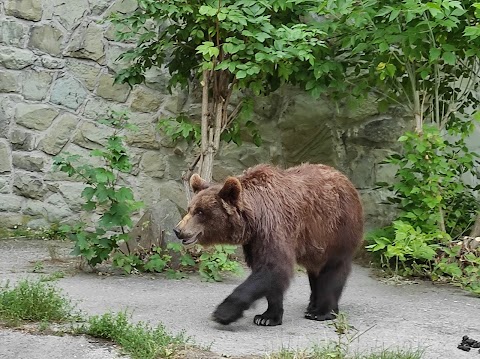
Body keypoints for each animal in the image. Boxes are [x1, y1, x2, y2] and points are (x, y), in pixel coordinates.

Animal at [174, 165, 362, 328]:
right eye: (190, 208)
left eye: (200, 212)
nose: (178, 230)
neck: (254, 218)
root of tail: (347, 180)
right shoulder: (254, 241)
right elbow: (269, 275)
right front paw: (267, 317)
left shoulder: (274, 227)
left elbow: (273, 268)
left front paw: (223, 312)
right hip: (317, 244)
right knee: (315, 272)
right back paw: (312, 306)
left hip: (337, 229)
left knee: (333, 269)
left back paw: (322, 311)